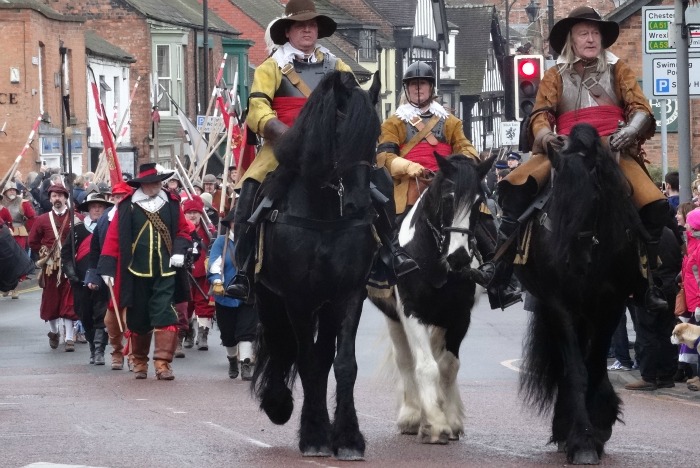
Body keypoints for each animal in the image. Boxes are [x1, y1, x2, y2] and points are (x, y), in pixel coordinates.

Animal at [252, 71, 380, 458]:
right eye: (338, 132)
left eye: (375, 135)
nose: (358, 204)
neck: (325, 215)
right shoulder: (297, 297)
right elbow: (306, 360)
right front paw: (314, 435)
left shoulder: (348, 295)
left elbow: (341, 363)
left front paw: (348, 437)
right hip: (268, 296)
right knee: (280, 343)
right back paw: (278, 403)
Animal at [372, 154, 492, 446]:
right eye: (448, 199)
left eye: (478, 202)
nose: (459, 258)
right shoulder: (411, 312)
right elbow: (425, 366)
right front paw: (435, 424)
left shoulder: (459, 316)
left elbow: (448, 365)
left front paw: (449, 419)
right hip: (393, 317)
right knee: (406, 360)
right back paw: (413, 415)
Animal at [516, 123, 644, 464]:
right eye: (556, 198)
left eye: (595, 196)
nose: (572, 262)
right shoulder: (560, 304)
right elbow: (576, 370)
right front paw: (582, 439)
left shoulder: (611, 304)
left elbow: (594, 365)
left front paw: (596, 428)